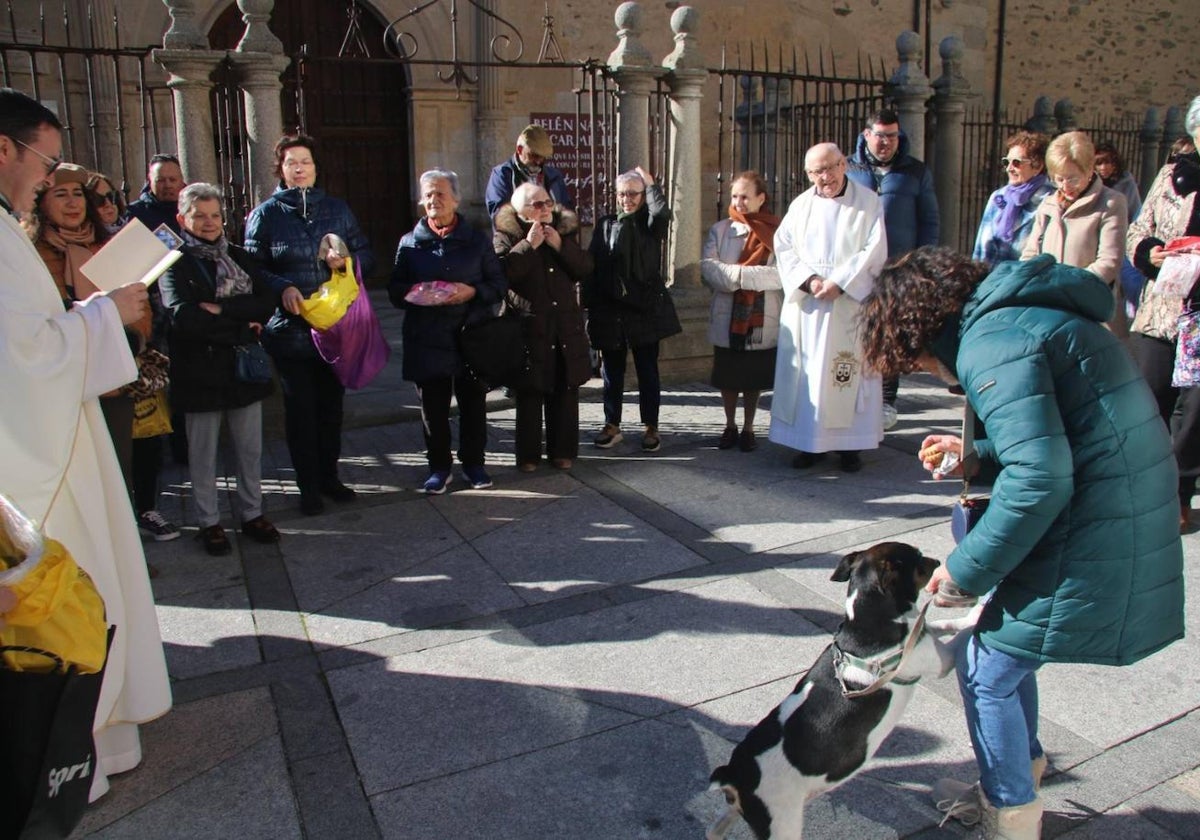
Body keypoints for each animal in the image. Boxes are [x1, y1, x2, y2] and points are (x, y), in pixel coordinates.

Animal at [700, 542, 974, 835]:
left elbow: (939, 625)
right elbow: (962, 636)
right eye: (918, 559)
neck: (867, 619)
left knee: (714, 829)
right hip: (781, 823)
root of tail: (734, 774)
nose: (938, 562)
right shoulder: (940, 660)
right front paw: (980, 611)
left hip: (741, 812)